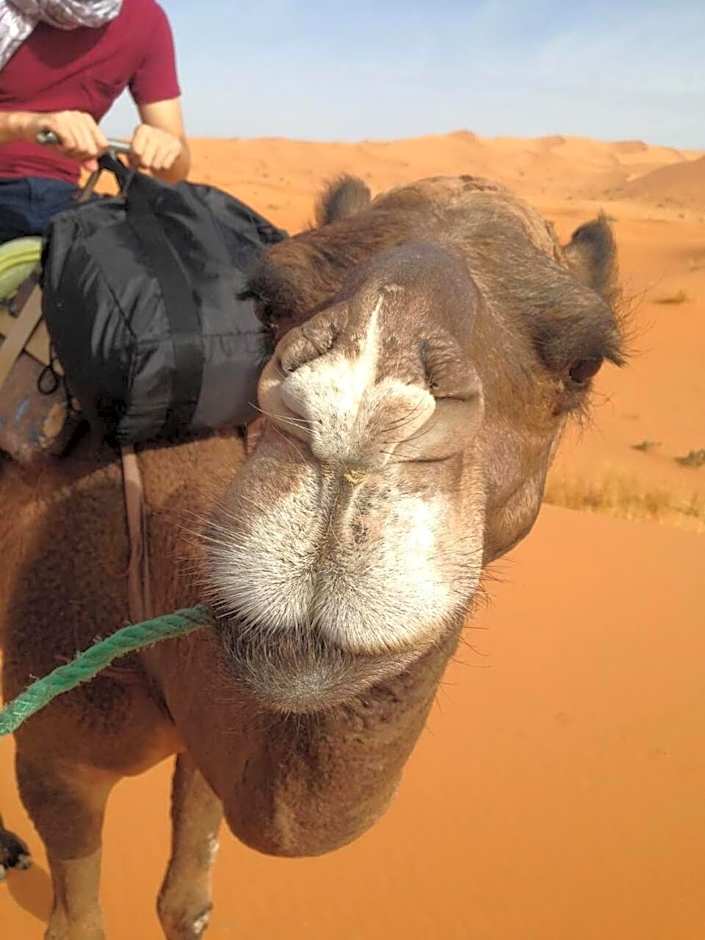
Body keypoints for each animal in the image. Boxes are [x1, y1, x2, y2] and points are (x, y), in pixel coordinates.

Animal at [0, 173, 624, 939]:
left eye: (584, 362)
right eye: (268, 302)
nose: (356, 423)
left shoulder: (209, 748)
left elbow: (185, 904)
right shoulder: (54, 760)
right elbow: (78, 921)